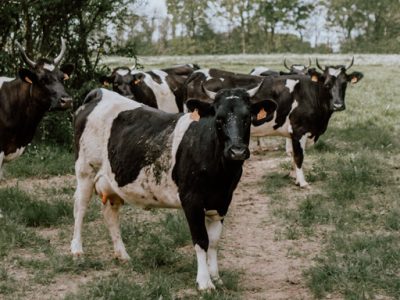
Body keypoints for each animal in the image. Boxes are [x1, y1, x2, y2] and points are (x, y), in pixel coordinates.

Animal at [71, 85, 278, 290]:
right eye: (219, 118)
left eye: (247, 118)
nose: (237, 151)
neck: (220, 173)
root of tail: (100, 93)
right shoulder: (192, 200)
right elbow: (201, 240)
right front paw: (204, 282)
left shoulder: (222, 201)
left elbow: (214, 242)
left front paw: (216, 277)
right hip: (85, 171)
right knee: (80, 208)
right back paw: (77, 250)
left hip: (112, 182)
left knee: (110, 214)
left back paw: (122, 255)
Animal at [186, 61, 364, 188]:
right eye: (327, 84)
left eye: (344, 84)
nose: (338, 105)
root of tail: (197, 73)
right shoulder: (299, 130)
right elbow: (299, 156)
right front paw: (303, 182)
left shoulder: (294, 133)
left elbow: (292, 154)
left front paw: (294, 177)